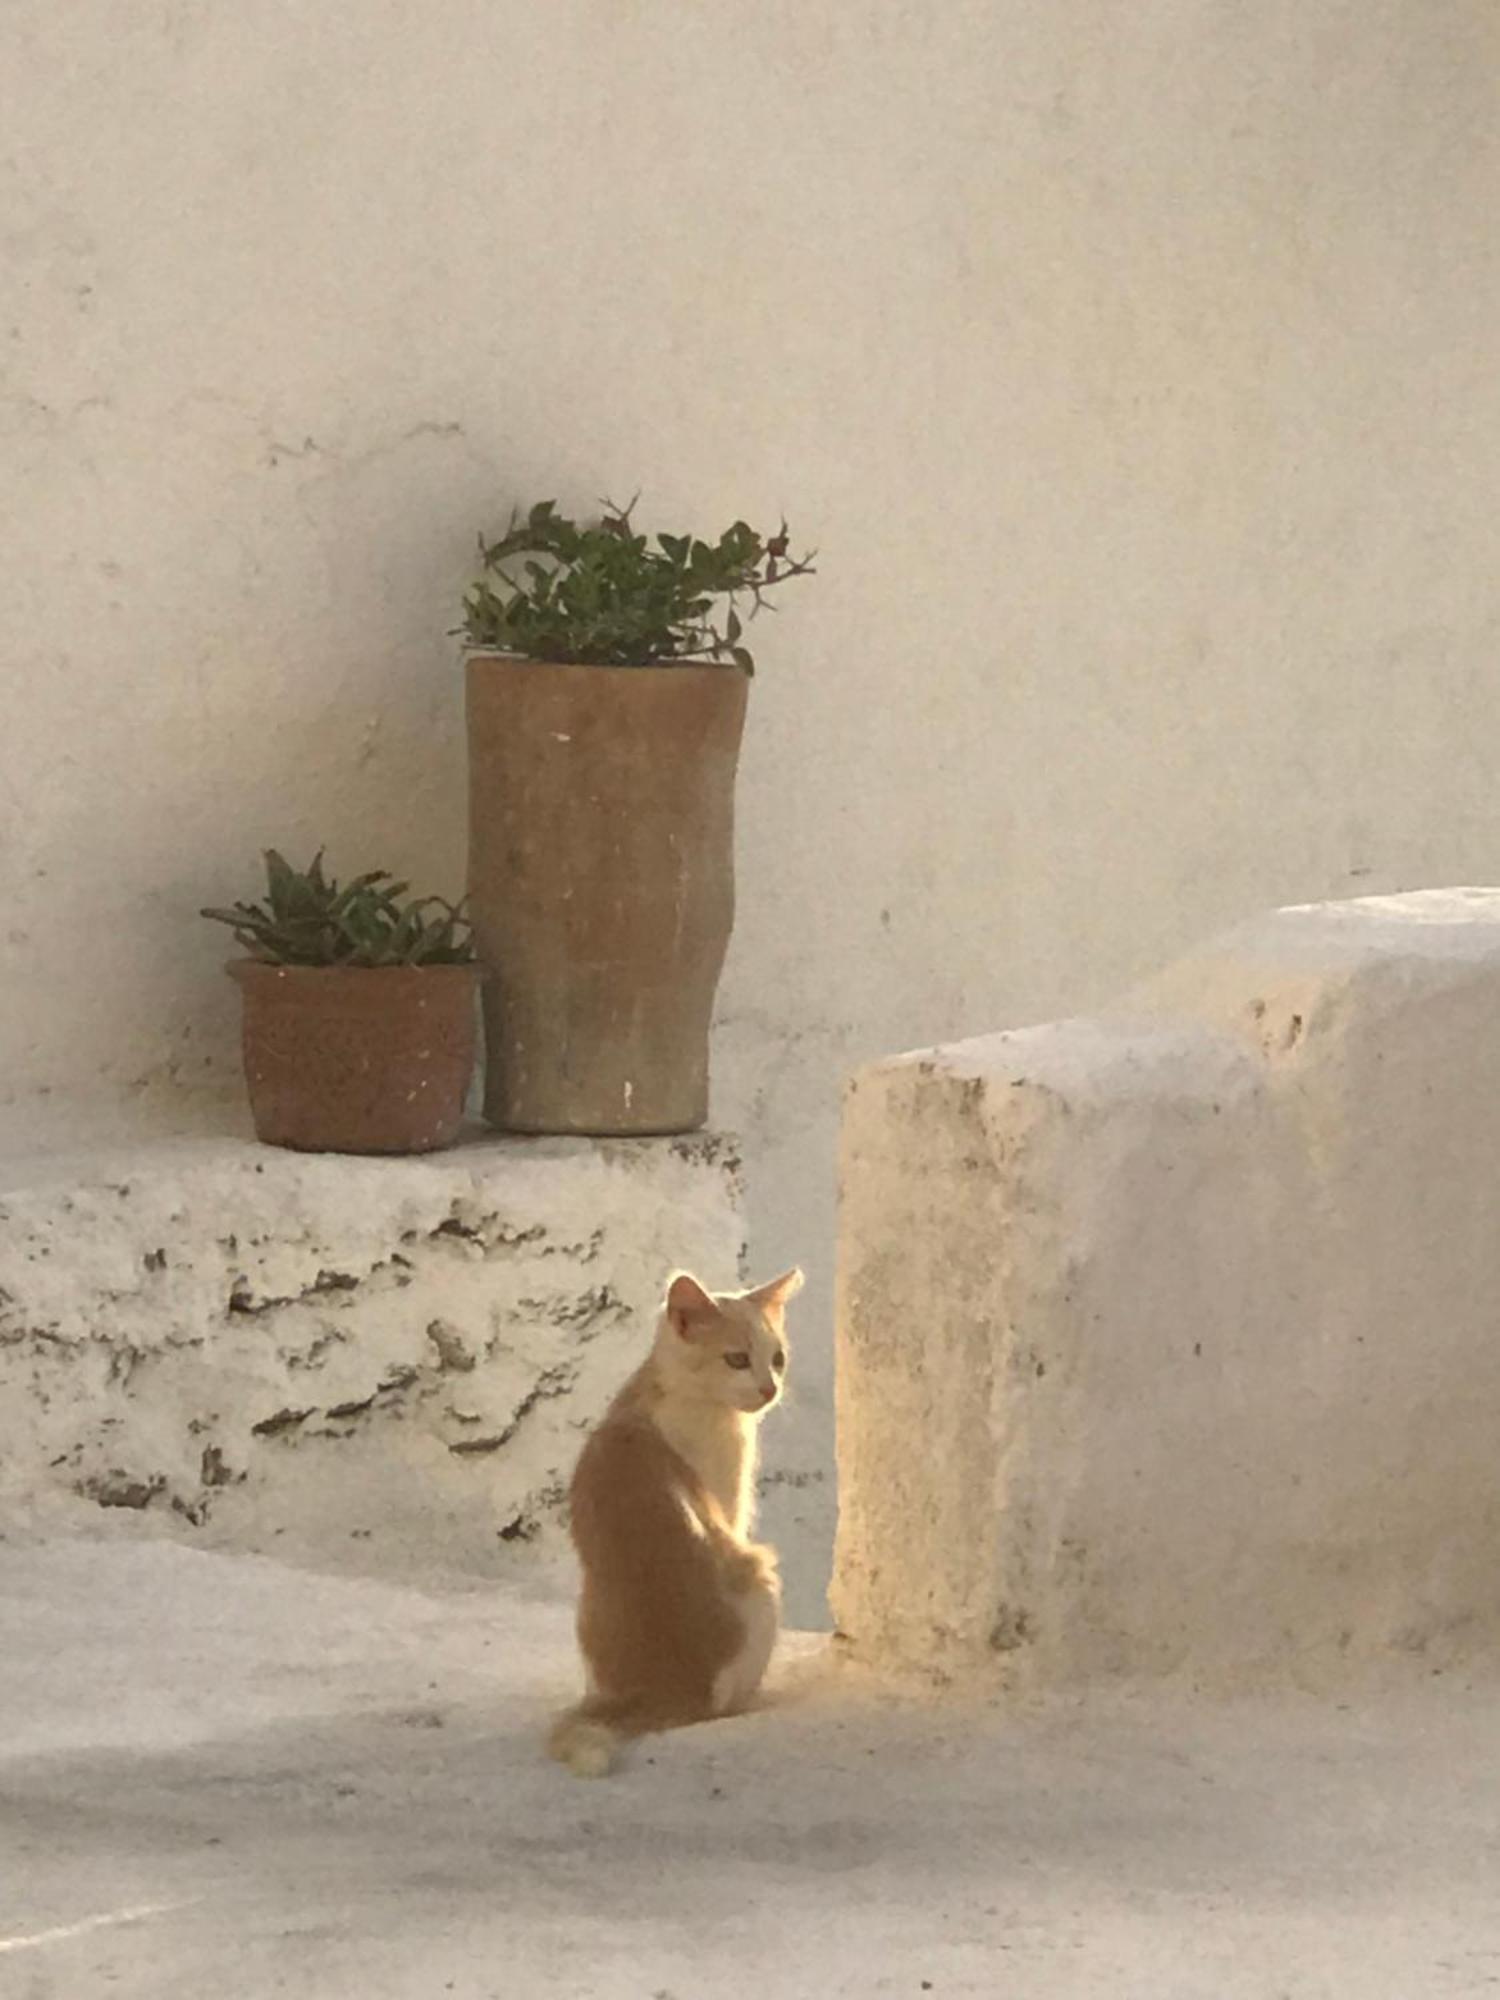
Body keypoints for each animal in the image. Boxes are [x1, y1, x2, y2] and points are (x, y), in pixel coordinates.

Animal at [548, 1272, 804, 1776]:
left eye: (778, 1358)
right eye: (737, 1359)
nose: (769, 1389)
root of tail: (659, 1690)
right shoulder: (730, 1508)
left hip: (587, 1602)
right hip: (760, 1579)